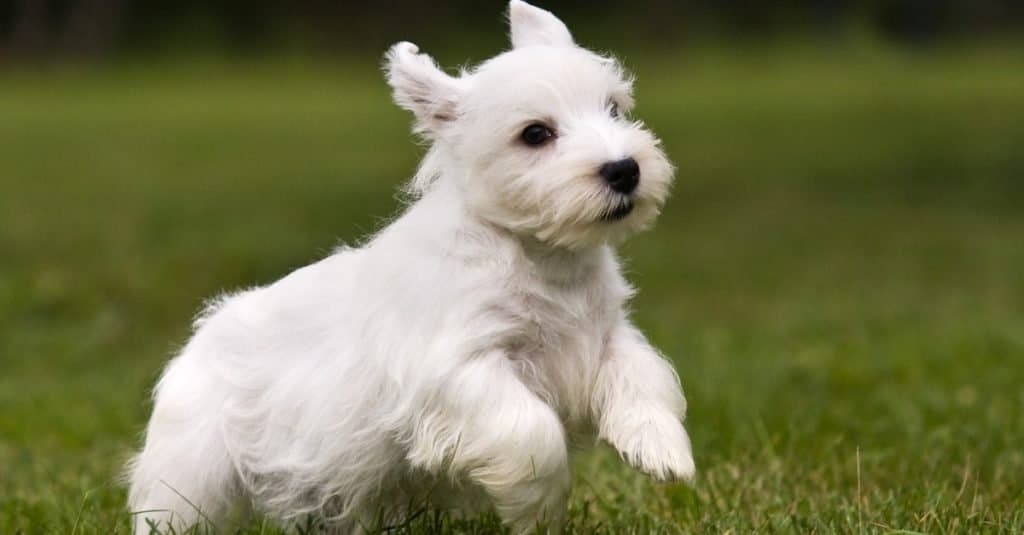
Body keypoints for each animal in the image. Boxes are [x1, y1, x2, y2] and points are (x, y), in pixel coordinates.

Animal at [123, 2, 692, 528]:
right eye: (535, 134)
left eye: (614, 108)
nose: (624, 170)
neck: (540, 256)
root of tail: (201, 333)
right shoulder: (461, 369)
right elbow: (532, 430)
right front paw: (540, 507)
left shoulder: (605, 335)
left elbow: (644, 376)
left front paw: (662, 451)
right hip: (190, 474)